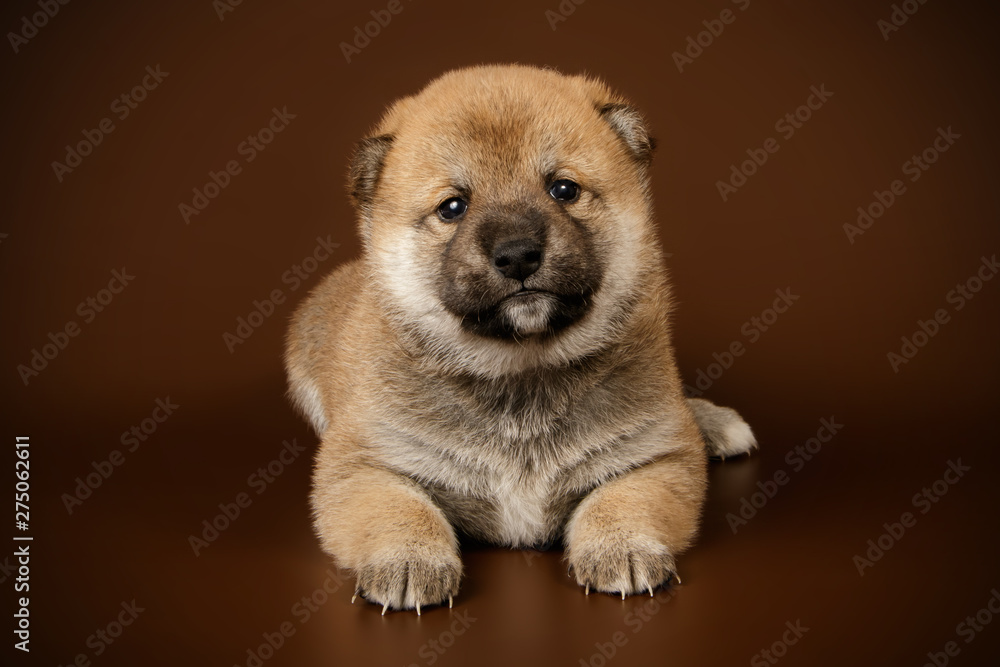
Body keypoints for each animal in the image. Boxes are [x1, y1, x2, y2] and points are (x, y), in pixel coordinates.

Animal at [286, 65, 752, 612]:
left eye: (563, 189)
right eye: (453, 207)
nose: (517, 254)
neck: (521, 371)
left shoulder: (657, 454)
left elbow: (623, 499)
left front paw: (622, 545)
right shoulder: (360, 463)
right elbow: (397, 506)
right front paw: (408, 559)